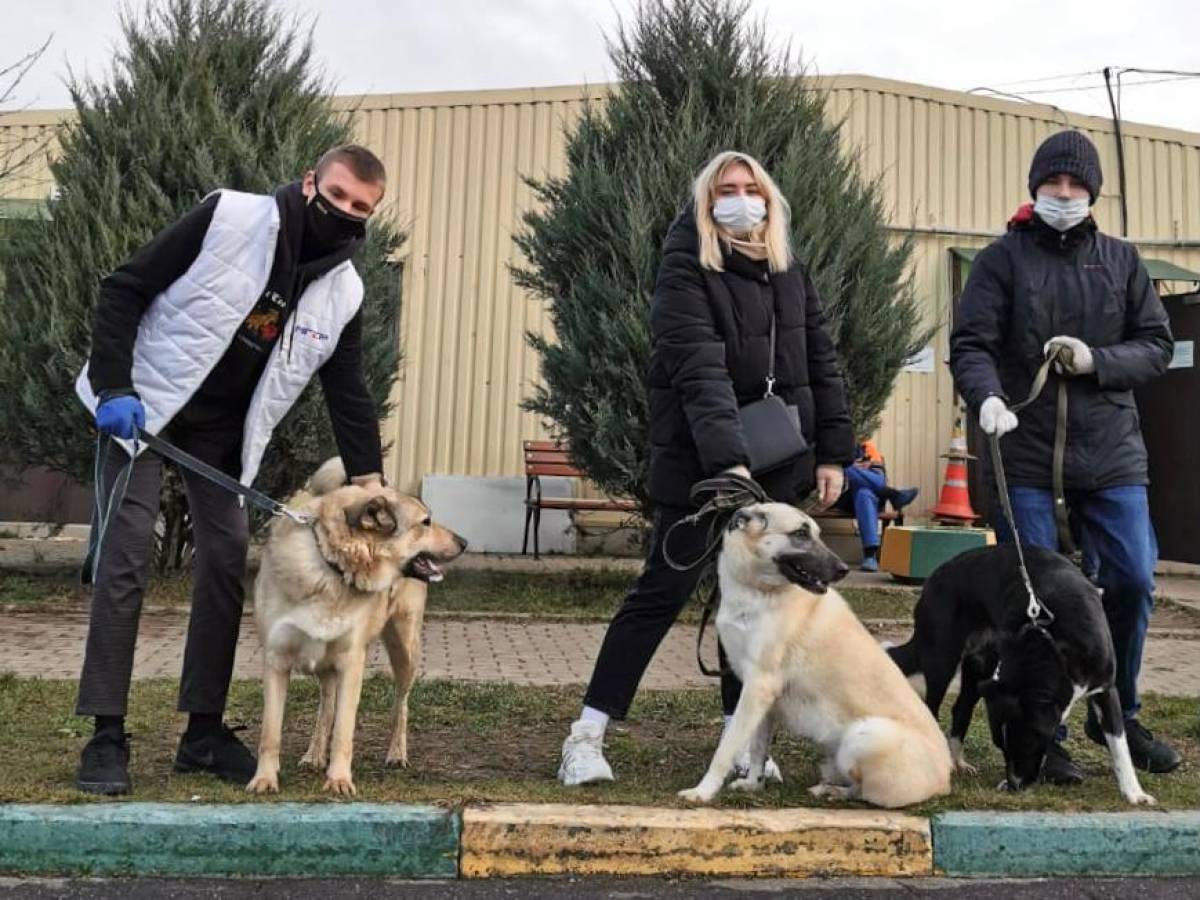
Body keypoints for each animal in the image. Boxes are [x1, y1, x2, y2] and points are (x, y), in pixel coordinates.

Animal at [246, 458, 465, 796]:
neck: (331, 567)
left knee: (401, 704)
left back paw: (396, 754)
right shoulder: (276, 659)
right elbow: (270, 732)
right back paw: (313, 754)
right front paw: (265, 779)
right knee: (326, 704)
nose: (465, 543)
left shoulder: (351, 662)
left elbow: (344, 730)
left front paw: (339, 779)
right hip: (327, 663)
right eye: (426, 522)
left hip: (404, 649)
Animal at [681, 501, 950, 811]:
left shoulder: (757, 688)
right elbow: (758, 748)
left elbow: (726, 749)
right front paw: (753, 785)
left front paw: (703, 792)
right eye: (800, 533)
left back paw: (832, 792)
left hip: (864, 736)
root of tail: (945, 780)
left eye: (816, 534)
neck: (758, 590)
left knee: (864, 791)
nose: (843, 570)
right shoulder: (762, 698)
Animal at [892, 547, 1152, 806]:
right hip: (942, 660)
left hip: (980, 668)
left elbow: (1120, 745)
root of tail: (937, 573)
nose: (1013, 787)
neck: (1053, 644)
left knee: (961, 709)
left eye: (1027, 744)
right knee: (931, 707)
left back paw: (958, 762)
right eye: (1002, 747)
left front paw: (1134, 792)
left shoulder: (1105, 688)